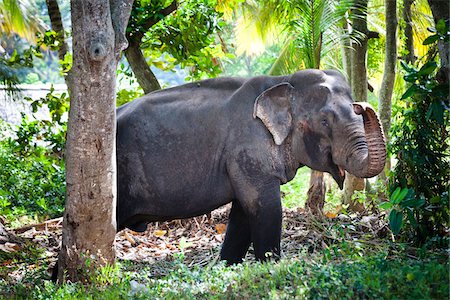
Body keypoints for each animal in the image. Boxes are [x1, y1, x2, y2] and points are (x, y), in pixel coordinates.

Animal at [117, 69, 386, 264]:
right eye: (324, 121)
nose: (361, 105)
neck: (282, 81)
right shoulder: (247, 150)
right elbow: (265, 207)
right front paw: (272, 264)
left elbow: (244, 213)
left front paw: (228, 265)